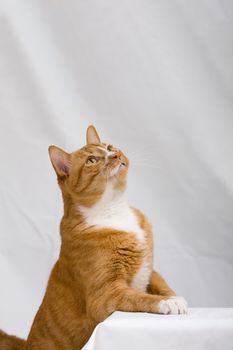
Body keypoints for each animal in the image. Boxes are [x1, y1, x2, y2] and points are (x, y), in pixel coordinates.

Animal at [0, 124, 187, 348]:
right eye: (91, 160)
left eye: (109, 147)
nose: (116, 154)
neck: (115, 210)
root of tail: (24, 344)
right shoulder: (105, 295)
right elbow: (140, 297)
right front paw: (167, 302)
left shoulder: (150, 270)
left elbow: (163, 285)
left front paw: (174, 297)